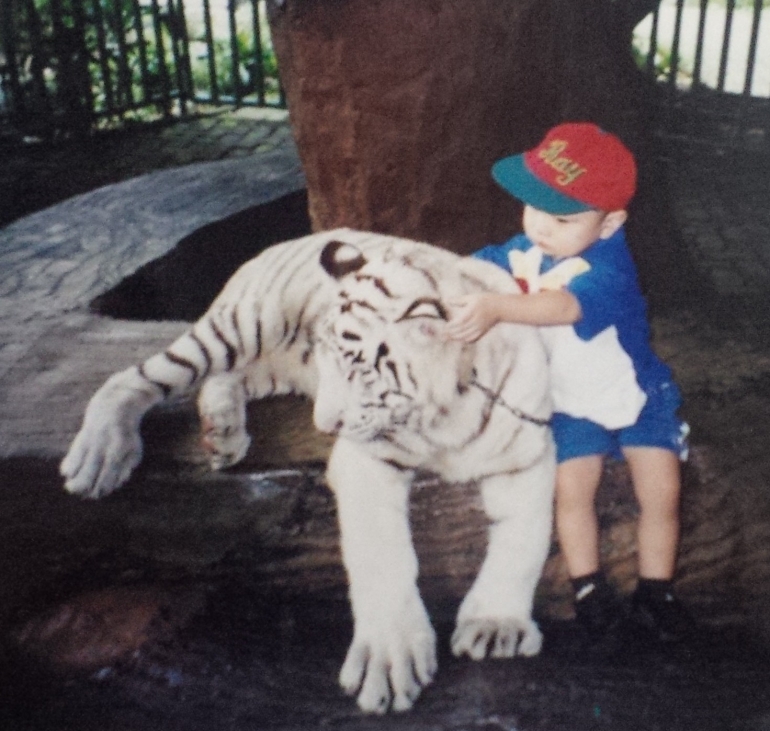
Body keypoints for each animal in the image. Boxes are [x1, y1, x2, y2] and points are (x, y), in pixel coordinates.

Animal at [60, 229, 552, 716]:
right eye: (326, 359)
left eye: (359, 371)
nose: (325, 425)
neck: (446, 414)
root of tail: (296, 238)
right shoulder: (363, 461)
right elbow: (384, 556)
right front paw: (389, 659)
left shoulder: (527, 455)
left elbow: (523, 542)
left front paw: (495, 626)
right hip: (242, 324)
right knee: (136, 378)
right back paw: (100, 456)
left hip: (268, 367)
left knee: (225, 378)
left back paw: (223, 432)